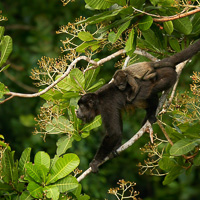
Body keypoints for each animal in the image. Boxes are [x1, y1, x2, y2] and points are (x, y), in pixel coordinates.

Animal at [76, 38, 200, 172]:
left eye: (81, 107)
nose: (77, 112)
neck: (98, 102)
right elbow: (118, 127)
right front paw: (115, 148)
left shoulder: (106, 107)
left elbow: (114, 132)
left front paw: (95, 161)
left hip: (167, 76)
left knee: (148, 92)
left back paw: (150, 114)